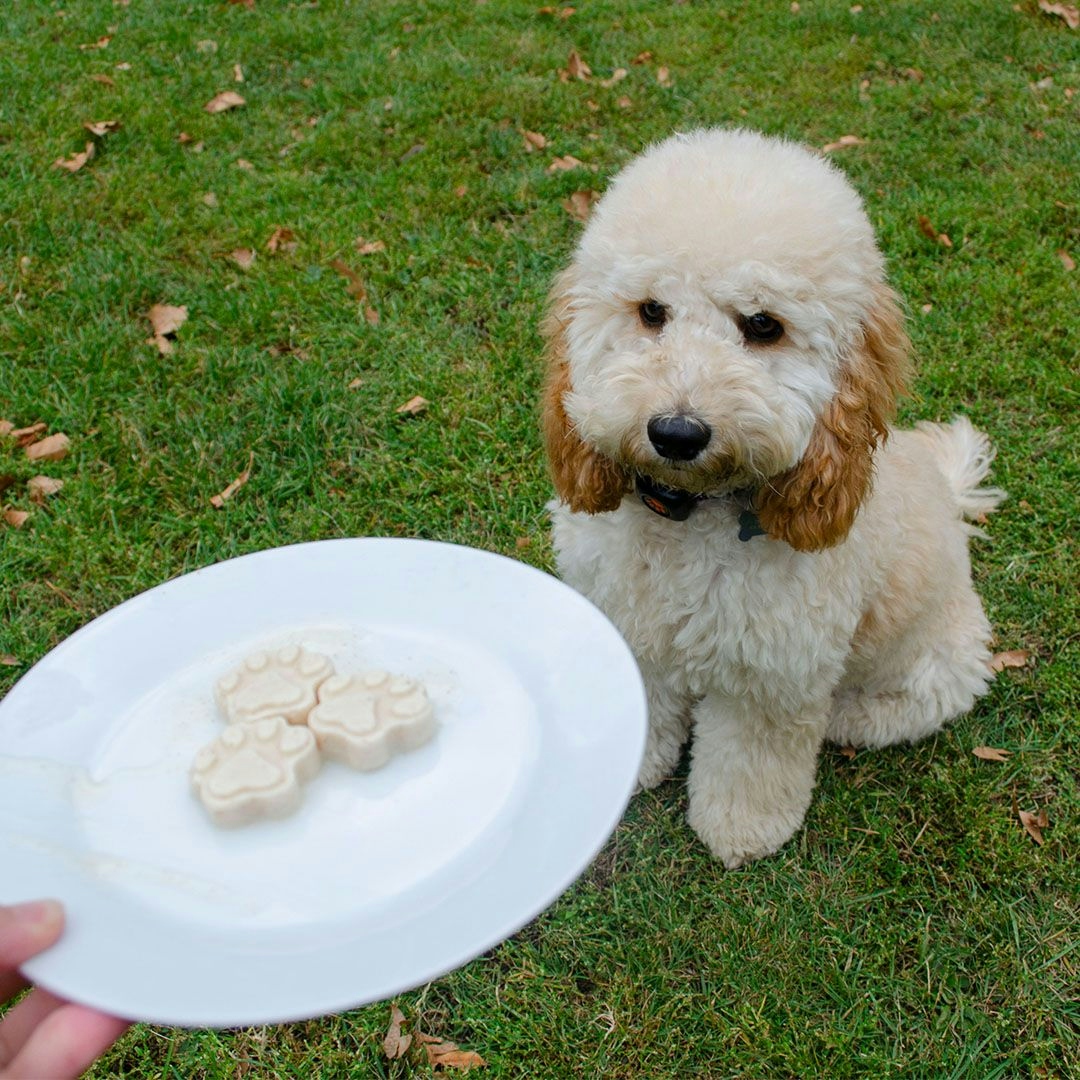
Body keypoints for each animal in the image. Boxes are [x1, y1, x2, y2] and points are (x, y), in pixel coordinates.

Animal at [544, 128, 1006, 868]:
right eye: (651, 312)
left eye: (763, 325)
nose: (676, 433)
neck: (692, 514)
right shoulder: (629, 620)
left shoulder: (776, 674)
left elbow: (750, 759)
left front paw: (740, 829)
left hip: (935, 669)